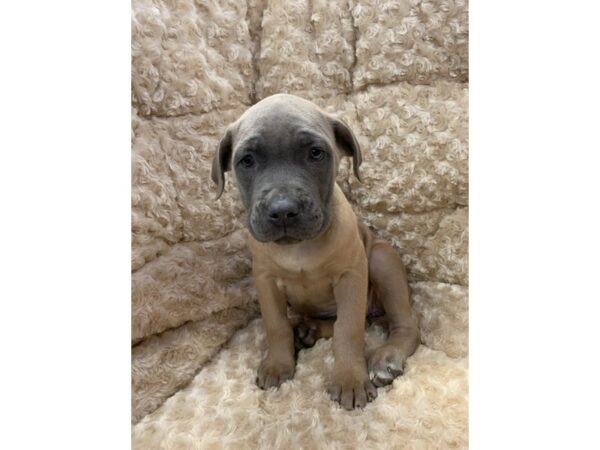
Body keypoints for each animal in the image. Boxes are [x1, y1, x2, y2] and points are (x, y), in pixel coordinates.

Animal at [213, 95, 420, 412]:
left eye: (315, 153)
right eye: (247, 160)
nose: (282, 210)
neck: (299, 247)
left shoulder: (350, 277)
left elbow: (347, 330)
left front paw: (350, 379)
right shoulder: (265, 280)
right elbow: (276, 325)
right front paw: (278, 363)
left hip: (382, 261)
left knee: (404, 326)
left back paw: (386, 357)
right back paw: (307, 330)